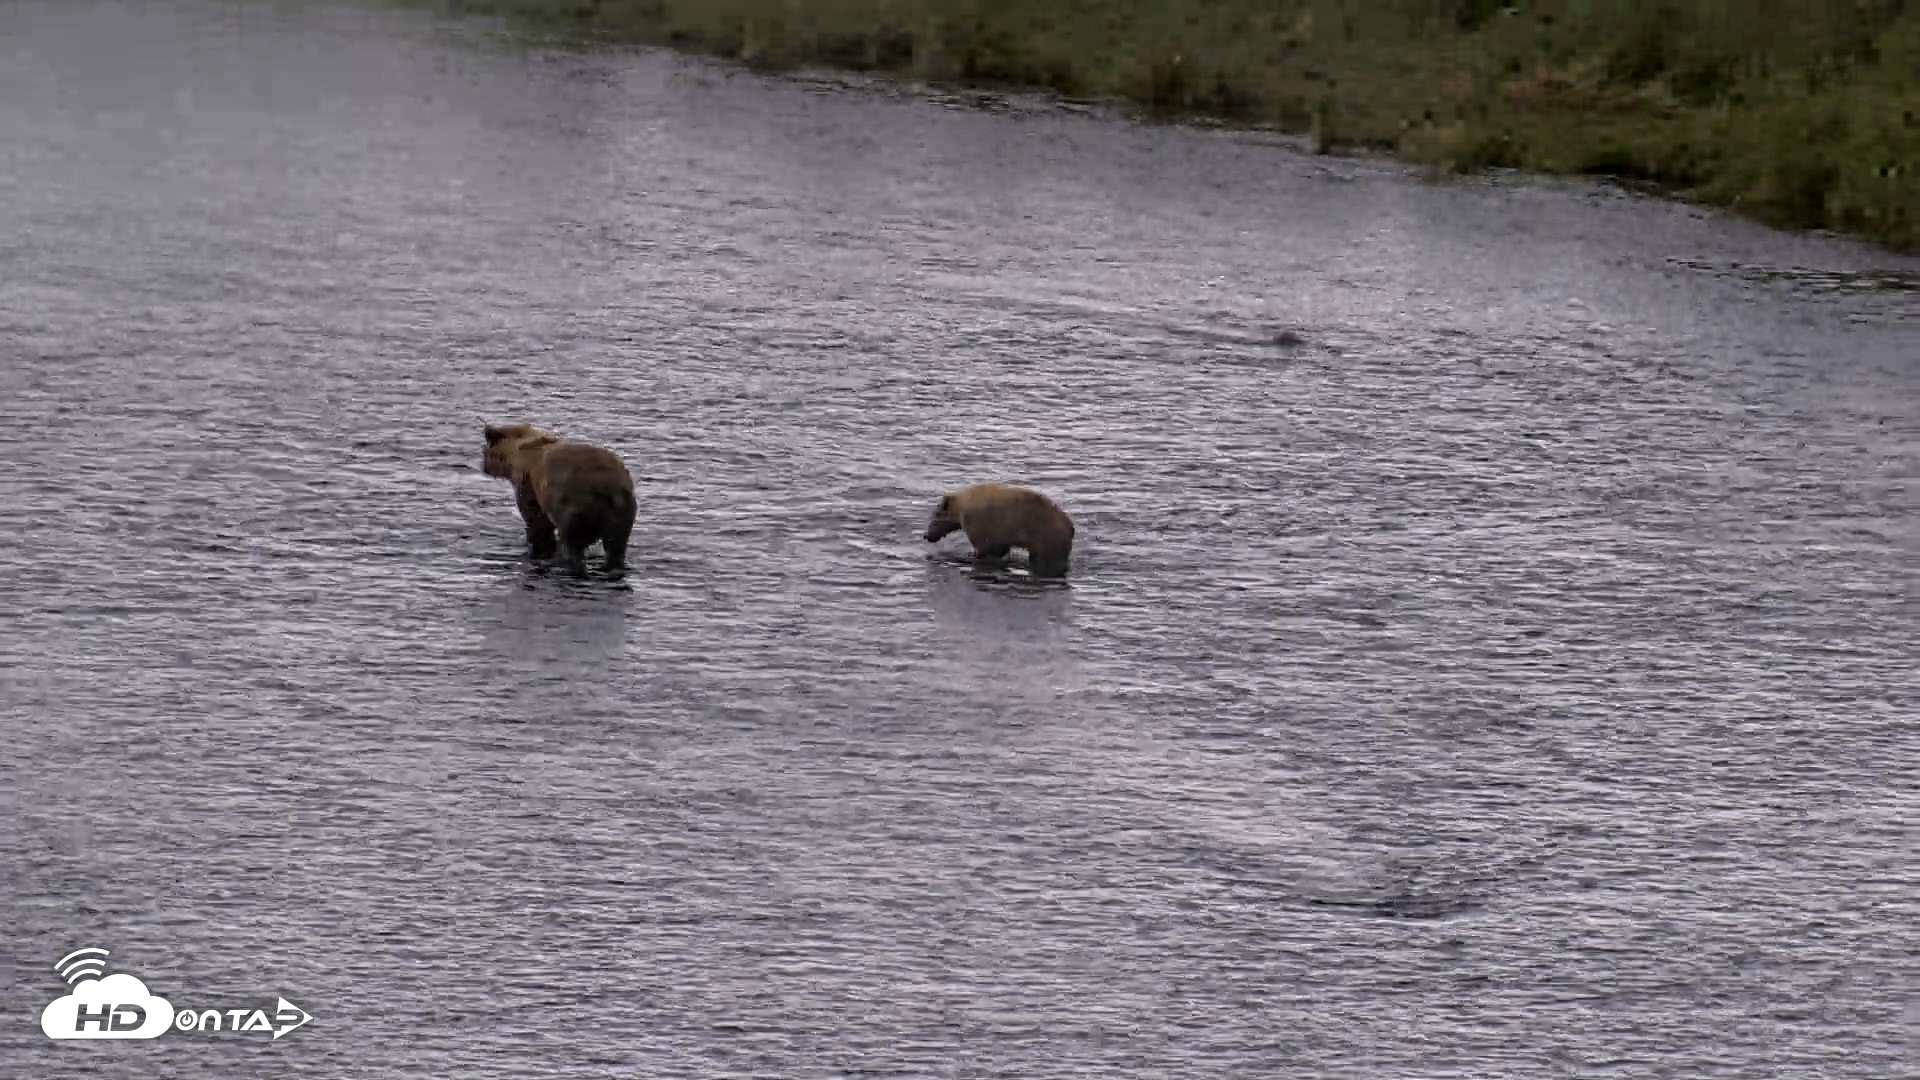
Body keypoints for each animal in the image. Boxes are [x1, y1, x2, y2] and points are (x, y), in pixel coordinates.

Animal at [481, 423, 636, 574]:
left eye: (484, 451)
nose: (484, 468)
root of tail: (609, 488)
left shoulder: (529, 483)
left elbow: (535, 520)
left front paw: (537, 546)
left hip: (575, 506)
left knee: (574, 543)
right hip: (622, 511)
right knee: (616, 545)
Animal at [922, 482, 1075, 575]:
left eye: (934, 516)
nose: (926, 535)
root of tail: (1071, 526)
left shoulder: (980, 523)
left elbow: (984, 547)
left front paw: (972, 554)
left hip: (1048, 536)